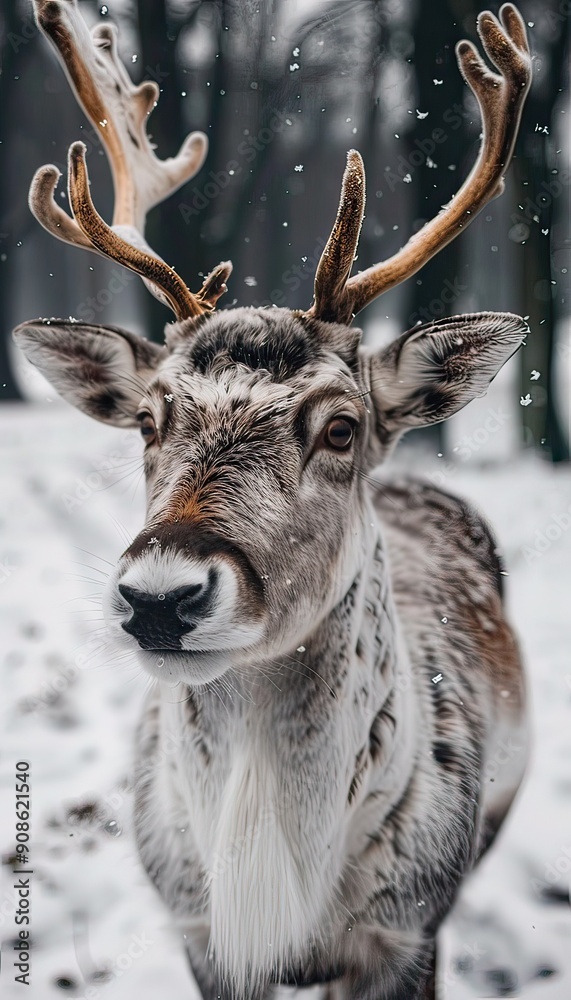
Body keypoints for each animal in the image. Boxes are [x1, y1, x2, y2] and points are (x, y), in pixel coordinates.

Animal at [14, 2, 532, 998]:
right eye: (148, 419)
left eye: (340, 428)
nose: (160, 597)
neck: (274, 902)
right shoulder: (198, 931)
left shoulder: (409, 929)